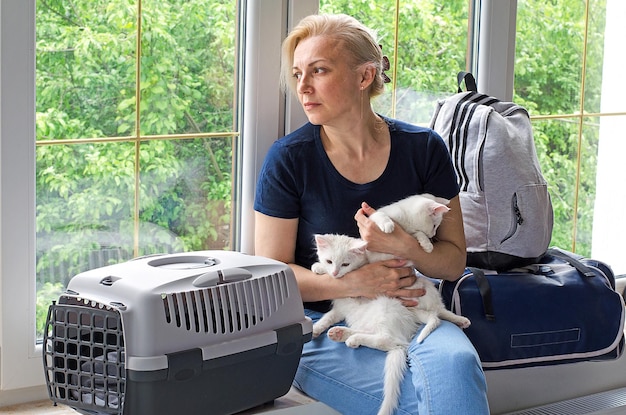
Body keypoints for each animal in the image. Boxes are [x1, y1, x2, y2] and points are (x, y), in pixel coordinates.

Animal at [310, 197, 466, 415]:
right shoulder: (340, 307)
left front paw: (424, 244)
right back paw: (342, 334)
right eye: (330, 260)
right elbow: (327, 317)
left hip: (387, 310)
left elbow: (413, 237)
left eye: (344, 264)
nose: (433, 236)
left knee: (388, 340)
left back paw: (353, 337)